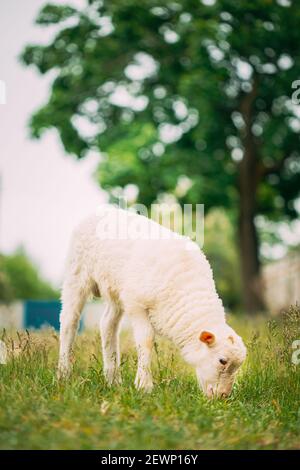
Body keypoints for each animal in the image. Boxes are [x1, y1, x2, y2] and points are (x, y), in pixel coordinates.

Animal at [58, 207, 246, 398]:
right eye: (222, 361)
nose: (223, 396)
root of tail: (99, 210)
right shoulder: (137, 305)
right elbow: (146, 340)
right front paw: (144, 385)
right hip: (77, 273)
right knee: (69, 320)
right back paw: (63, 374)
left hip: (115, 288)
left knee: (107, 324)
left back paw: (113, 379)